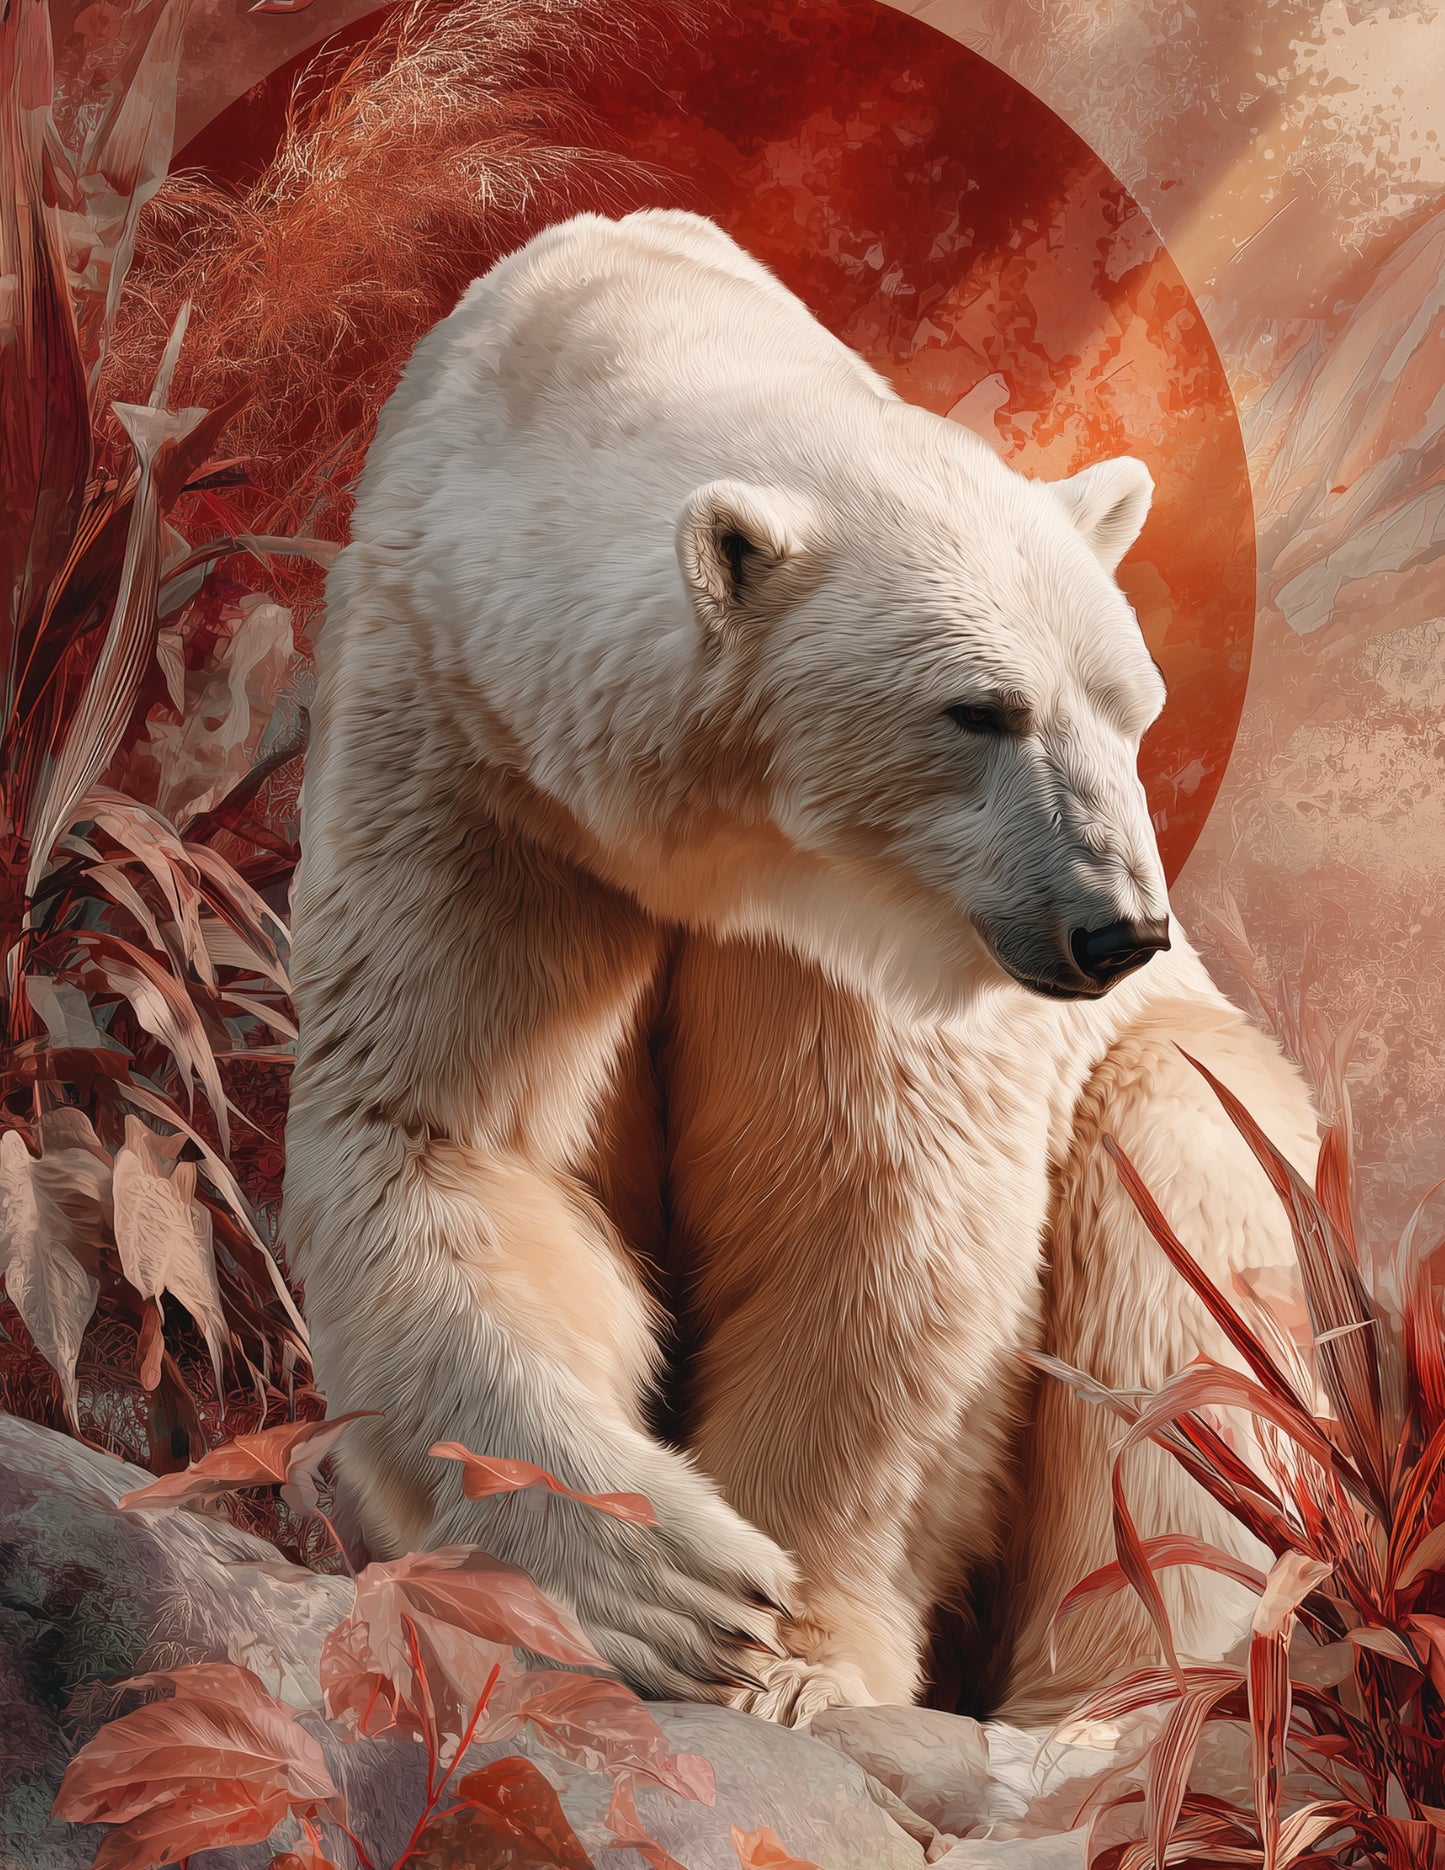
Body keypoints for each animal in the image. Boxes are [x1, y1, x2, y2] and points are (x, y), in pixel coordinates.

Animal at [282, 208, 1319, 1726]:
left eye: (1131, 707)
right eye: (979, 710)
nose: (1117, 926)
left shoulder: (862, 937)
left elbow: (872, 1214)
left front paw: (790, 1654)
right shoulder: (463, 753)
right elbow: (441, 1133)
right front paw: (666, 1582)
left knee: (1179, 1271)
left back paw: (1107, 1711)